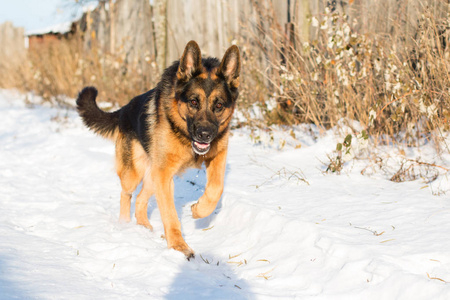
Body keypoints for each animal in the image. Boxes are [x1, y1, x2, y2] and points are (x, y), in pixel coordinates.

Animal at [76, 41, 239, 258]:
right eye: (193, 102)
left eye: (219, 105)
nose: (204, 135)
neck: (184, 133)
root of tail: (124, 110)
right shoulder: (164, 174)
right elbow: (170, 214)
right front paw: (178, 246)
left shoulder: (217, 157)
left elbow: (216, 188)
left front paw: (198, 210)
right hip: (135, 173)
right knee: (126, 194)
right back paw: (124, 224)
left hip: (152, 176)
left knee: (140, 199)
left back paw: (143, 225)